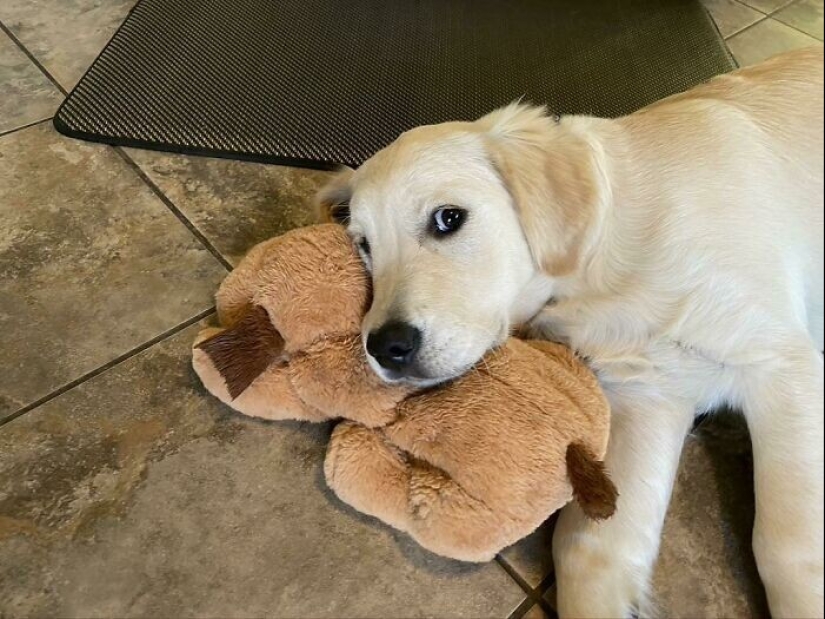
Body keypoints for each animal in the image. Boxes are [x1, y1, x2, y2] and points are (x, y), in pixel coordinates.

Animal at [318, 46, 824, 616]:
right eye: (364, 245)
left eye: (448, 218)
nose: (385, 348)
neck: (601, 264)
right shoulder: (648, 396)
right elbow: (588, 551)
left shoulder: (783, 366)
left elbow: (790, 548)